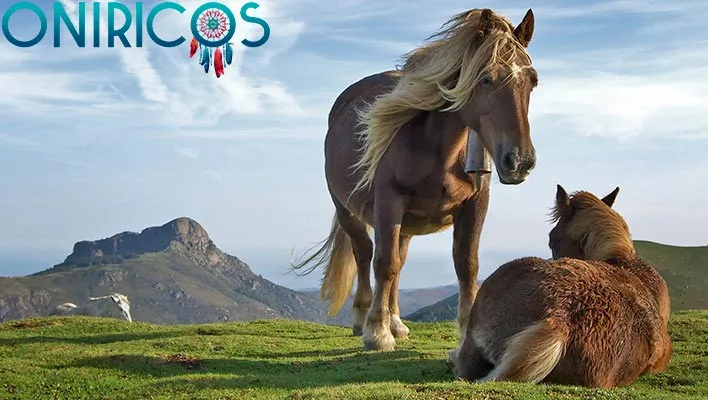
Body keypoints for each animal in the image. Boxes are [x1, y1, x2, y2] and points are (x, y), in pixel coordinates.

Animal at [291, 8, 539, 351]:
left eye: (532, 81)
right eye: (486, 79)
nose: (519, 161)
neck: (439, 150)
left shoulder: (476, 204)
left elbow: (466, 265)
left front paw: (465, 333)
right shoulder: (388, 202)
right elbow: (383, 263)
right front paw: (377, 333)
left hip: (407, 223)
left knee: (400, 260)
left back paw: (396, 321)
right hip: (348, 211)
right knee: (365, 253)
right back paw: (363, 318)